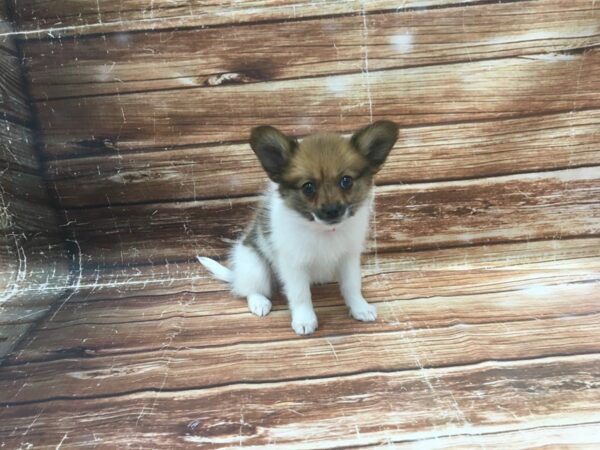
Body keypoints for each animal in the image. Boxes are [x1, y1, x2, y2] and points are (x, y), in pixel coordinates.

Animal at [199, 119, 400, 334]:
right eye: (308, 187)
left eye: (346, 181)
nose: (332, 211)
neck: (323, 231)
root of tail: (236, 274)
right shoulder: (293, 264)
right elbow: (301, 294)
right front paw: (304, 319)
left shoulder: (349, 258)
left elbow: (352, 286)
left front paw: (360, 307)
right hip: (254, 266)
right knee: (250, 289)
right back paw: (259, 302)